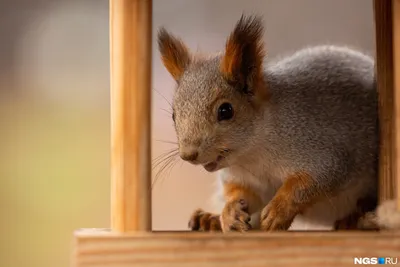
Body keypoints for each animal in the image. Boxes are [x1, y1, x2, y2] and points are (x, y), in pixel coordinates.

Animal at [156, 14, 400, 232]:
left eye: (226, 110)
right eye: (174, 115)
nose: (188, 154)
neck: (253, 154)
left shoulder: (323, 150)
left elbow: (309, 183)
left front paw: (279, 210)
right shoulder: (244, 178)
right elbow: (243, 194)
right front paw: (230, 212)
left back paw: (354, 219)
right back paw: (210, 220)